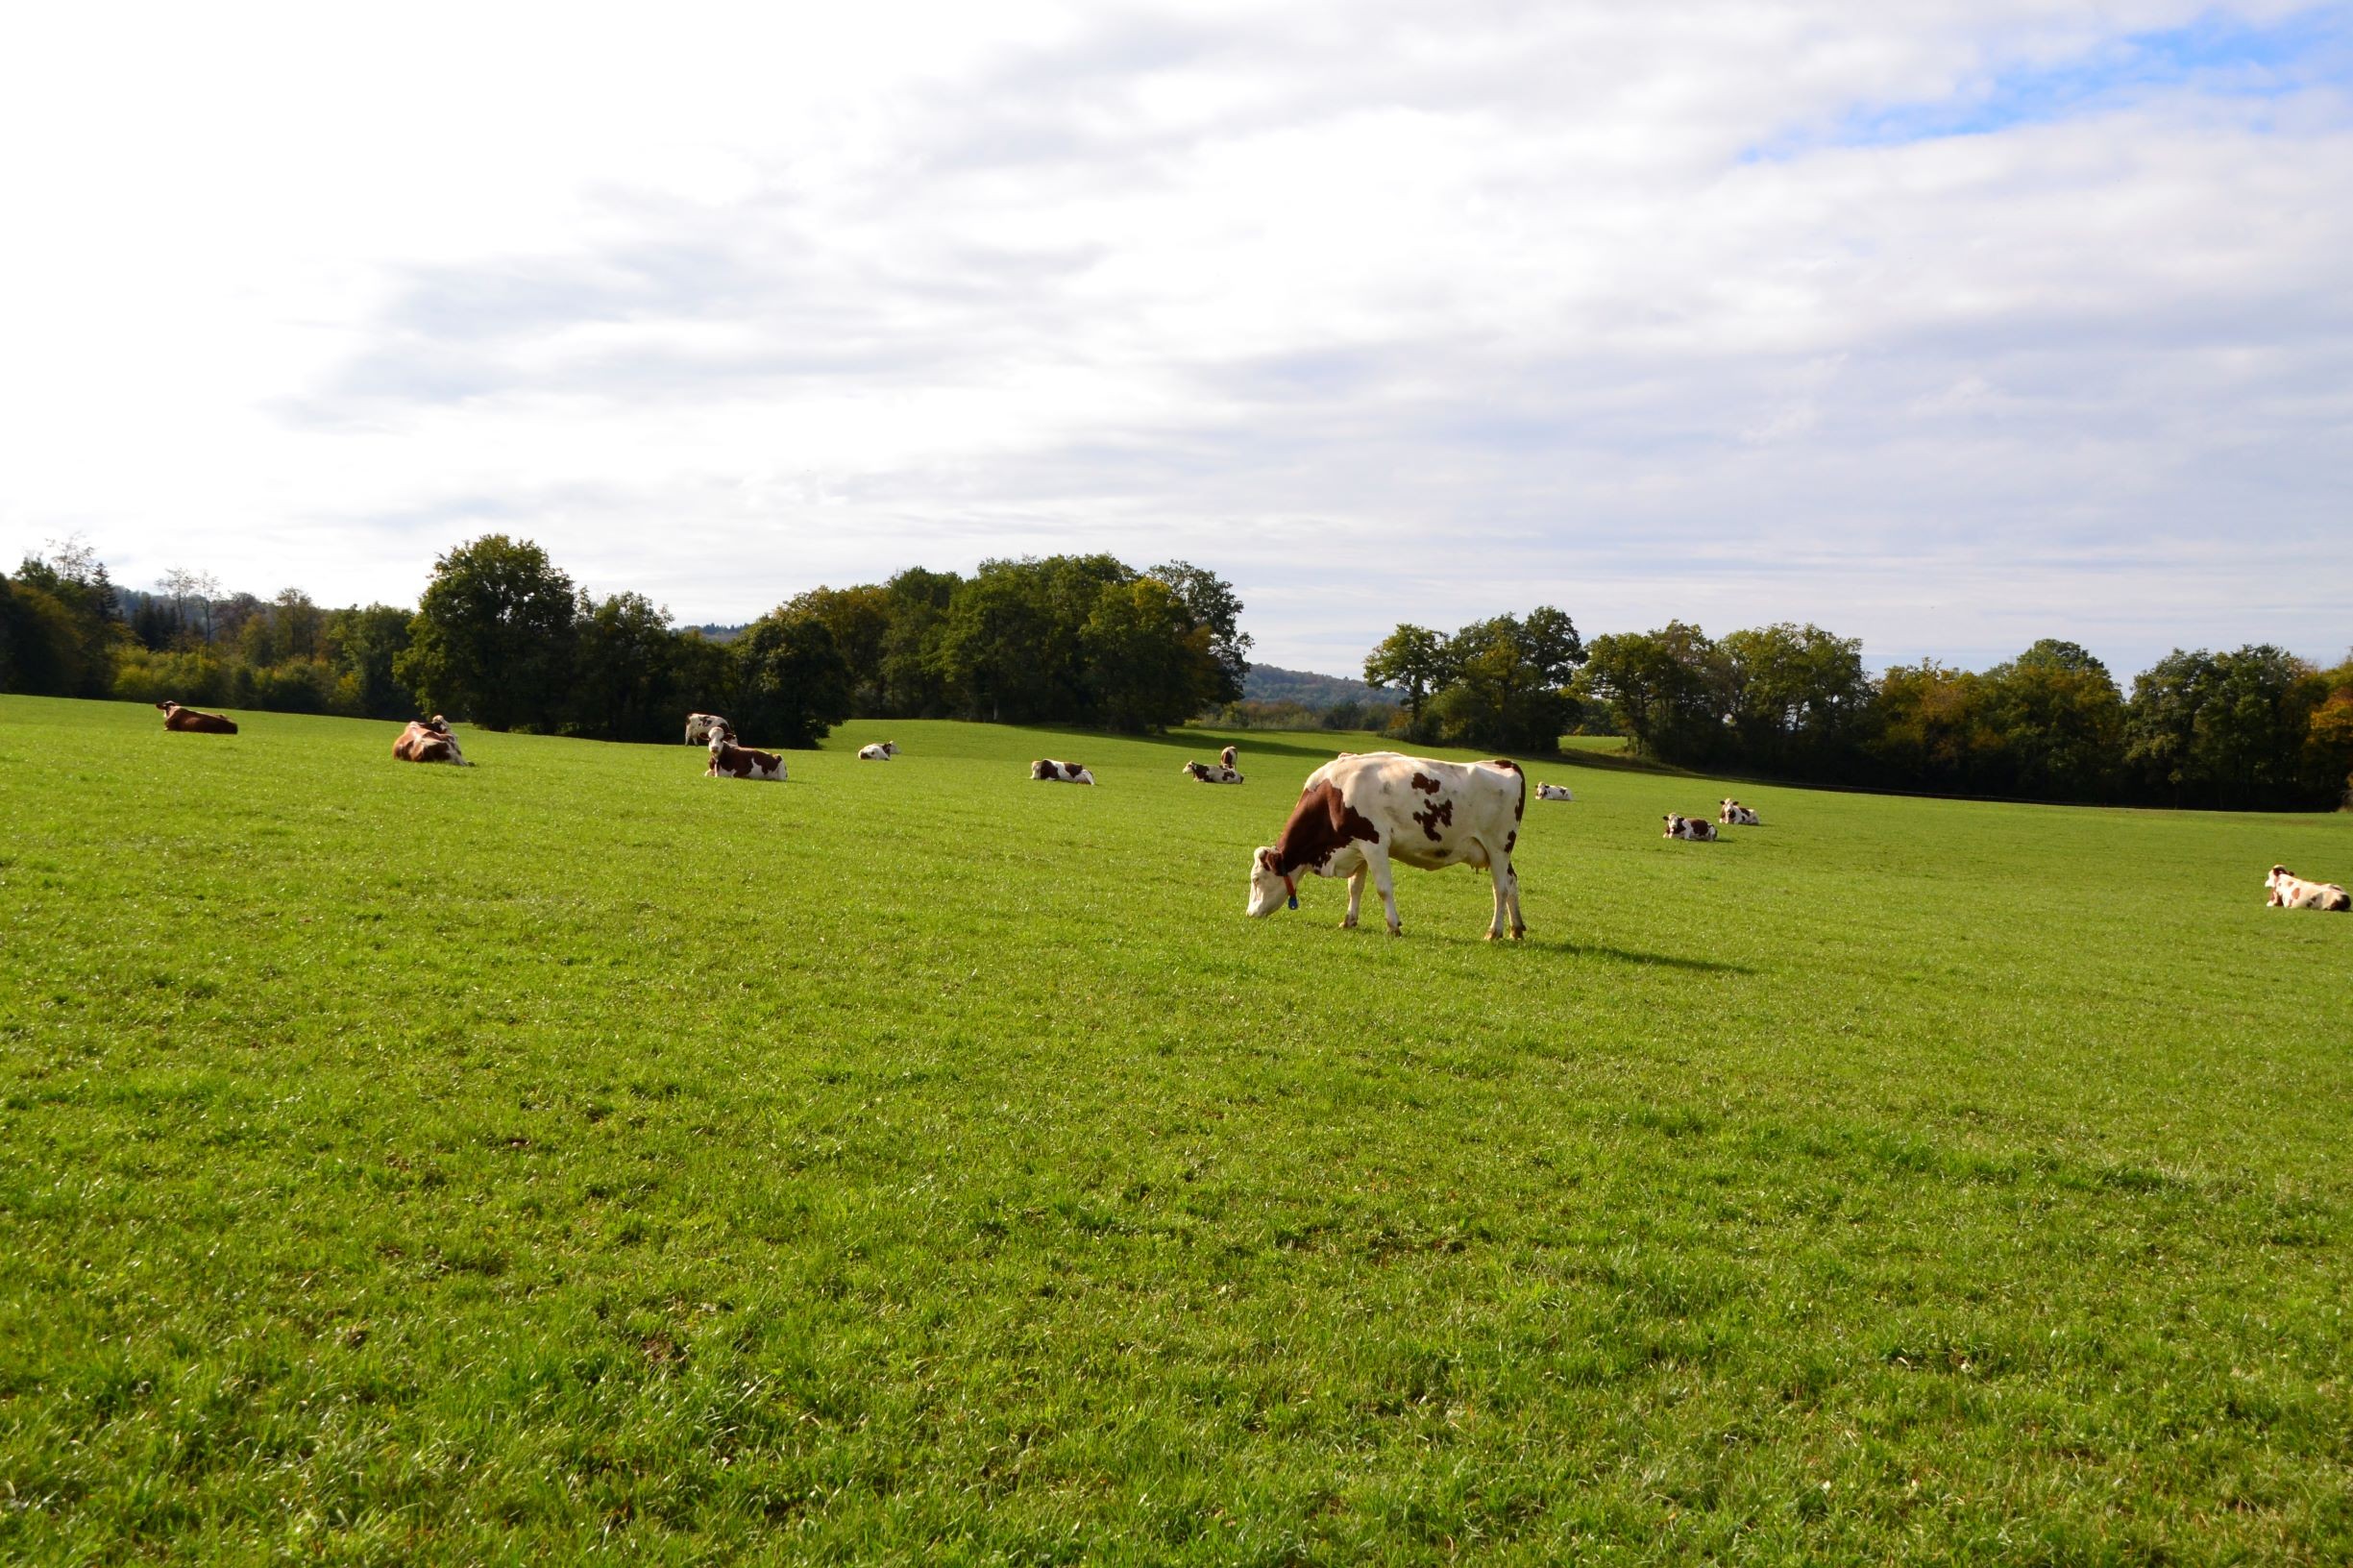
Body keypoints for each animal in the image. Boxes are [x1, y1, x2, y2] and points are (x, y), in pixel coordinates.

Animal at [1251, 748, 1524, 932]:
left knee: (1500, 887)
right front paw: (1349, 921)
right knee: (1511, 882)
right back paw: (1516, 928)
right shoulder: (1357, 845)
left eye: (1256, 879)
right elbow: (1355, 887)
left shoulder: (1374, 843)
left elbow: (1383, 888)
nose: (1249, 913)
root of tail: (1505, 763)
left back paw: (1494, 931)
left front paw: (1393, 926)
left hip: (1498, 847)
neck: (1333, 793)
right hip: (1499, 851)